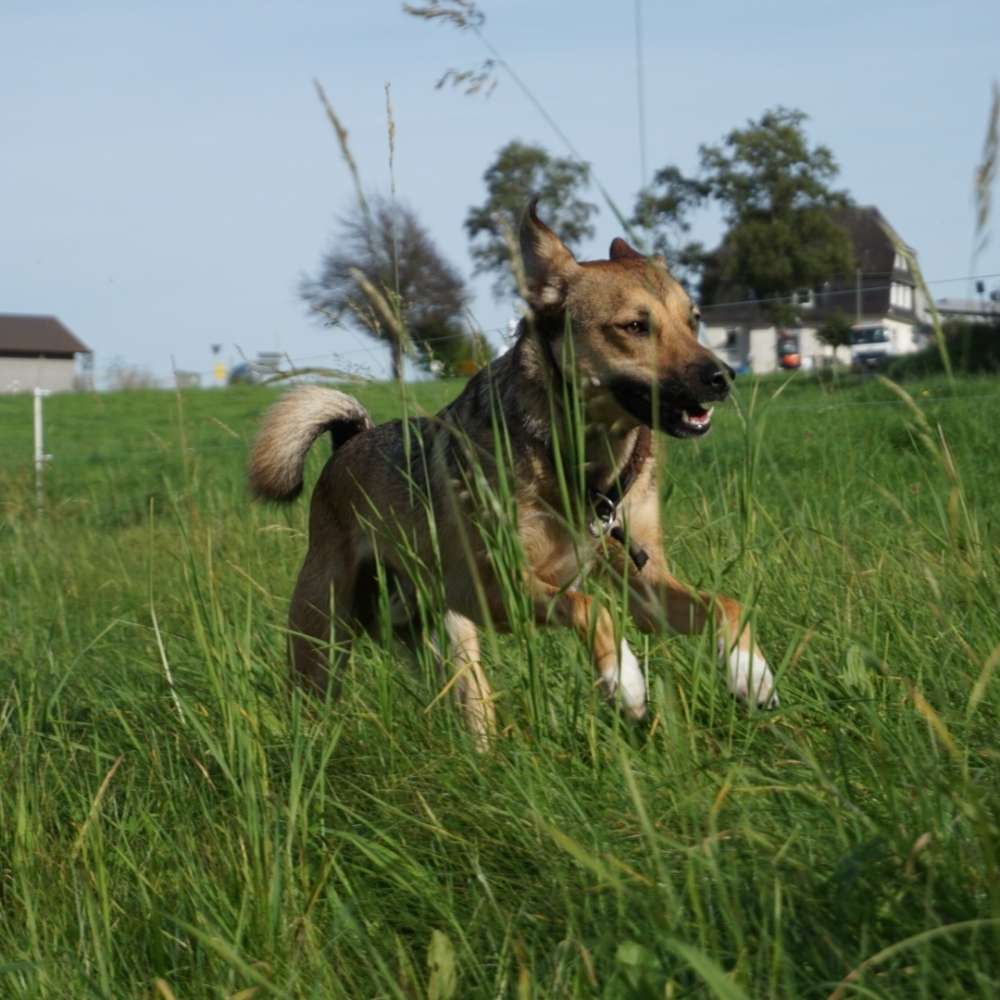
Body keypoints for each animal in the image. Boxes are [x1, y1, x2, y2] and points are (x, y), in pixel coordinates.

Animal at [246, 199, 776, 748]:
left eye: (694, 320)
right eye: (633, 326)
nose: (722, 377)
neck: (583, 464)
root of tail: (350, 441)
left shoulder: (643, 583)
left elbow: (724, 603)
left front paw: (751, 673)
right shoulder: (503, 589)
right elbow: (591, 607)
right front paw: (625, 680)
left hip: (450, 642)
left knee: (471, 703)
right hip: (322, 637)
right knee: (313, 699)